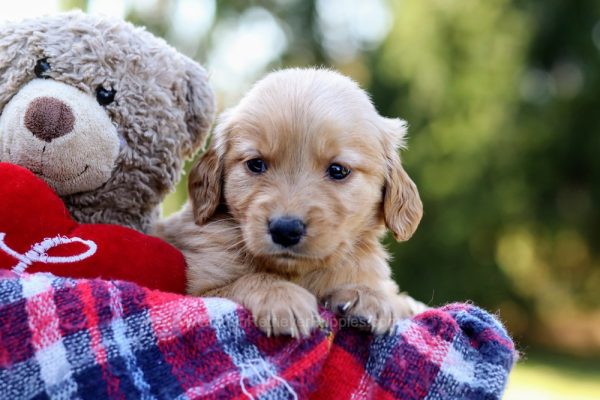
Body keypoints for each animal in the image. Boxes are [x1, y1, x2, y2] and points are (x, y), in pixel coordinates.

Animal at [155, 69, 426, 338]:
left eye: (338, 170)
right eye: (256, 164)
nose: (285, 230)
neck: (296, 272)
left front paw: (367, 295)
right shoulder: (200, 288)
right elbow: (247, 280)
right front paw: (281, 296)